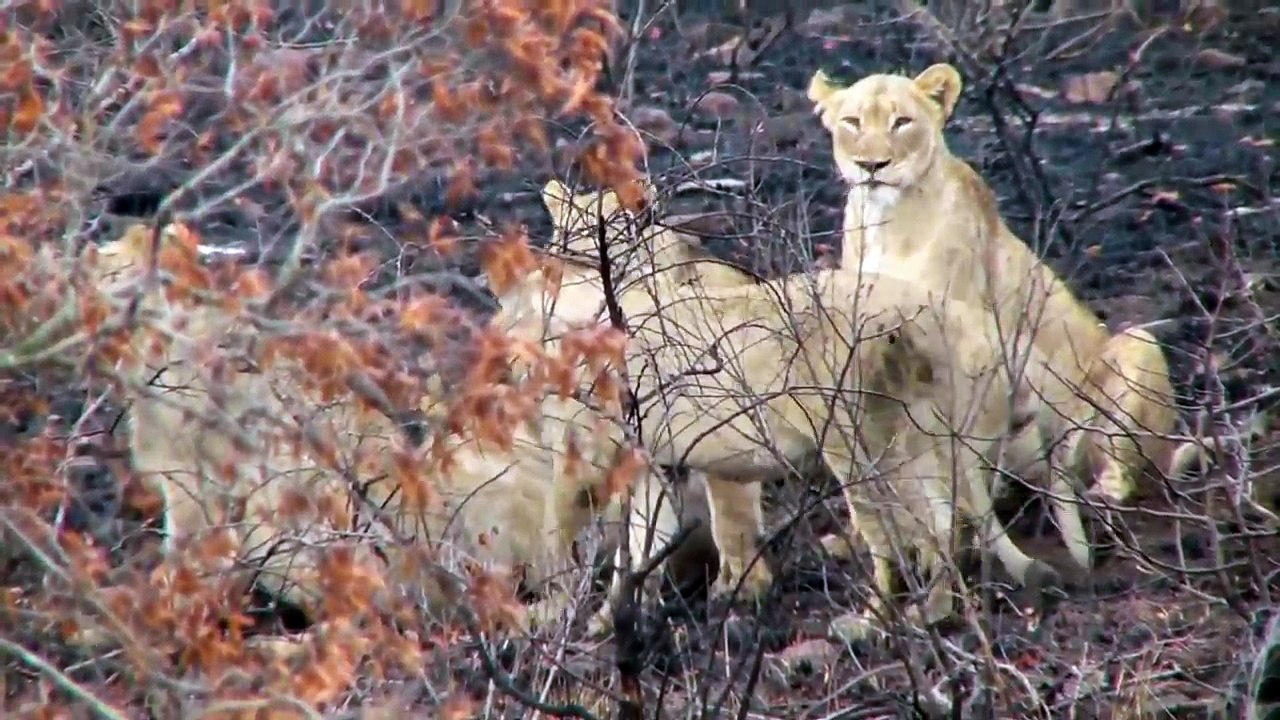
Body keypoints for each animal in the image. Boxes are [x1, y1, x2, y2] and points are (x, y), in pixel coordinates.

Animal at [518, 179, 1077, 640]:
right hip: (916, 442)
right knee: (943, 525)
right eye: (563, 237)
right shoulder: (653, 460)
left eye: (593, 240)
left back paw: (871, 622)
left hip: (856, 445)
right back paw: (934, 613)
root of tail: (934, 312)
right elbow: (645, 543)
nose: (554, 271)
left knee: (894, 536)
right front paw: (613, 619)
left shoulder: (594, 455)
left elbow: (579, 536)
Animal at [807, 63, 1219, 512]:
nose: (872, 165)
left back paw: (1098, 492)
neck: (885, 223)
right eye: (852, 122)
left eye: (902, 122)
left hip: (1137, 348)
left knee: (1127, 470)